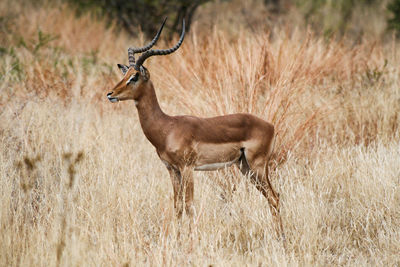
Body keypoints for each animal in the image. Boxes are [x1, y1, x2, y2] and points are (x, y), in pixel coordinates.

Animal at [106, 19, 284, 241]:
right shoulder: (172, 170)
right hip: (245, 167)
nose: (110, 94)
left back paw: (281, 239)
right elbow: (177, 205)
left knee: (274, 197)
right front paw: (178, 238)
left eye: (135, 76)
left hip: (257, 166)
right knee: (273, 197)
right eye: (126, 74)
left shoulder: (187, 168)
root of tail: (270, 125)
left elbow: (189, 205)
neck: (167, 127)